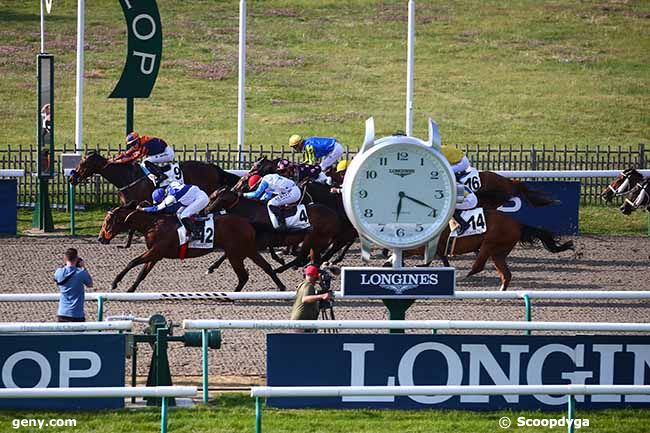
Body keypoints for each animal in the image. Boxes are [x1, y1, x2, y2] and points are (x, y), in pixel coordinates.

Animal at [97, 202, 284, 290]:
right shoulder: (155, 255)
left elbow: (132, 262)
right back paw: (281, 287)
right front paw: (130, 290)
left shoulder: (156, 251)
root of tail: (248, 222)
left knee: (244, 275)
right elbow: (142, 273)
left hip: (235, 254)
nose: (100, 238)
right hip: (248, 250)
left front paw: (115, 282)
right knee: (266, 267)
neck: (153, 224)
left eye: (108, 220)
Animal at [205, 188, 340, 272]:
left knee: (301, 257)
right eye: (211, 197)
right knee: (314, 259)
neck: (253, 212)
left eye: (215, 198)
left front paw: (212, 267)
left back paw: (279, 270)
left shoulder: (256, 243)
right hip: (317, 242)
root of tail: (335, 216)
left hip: (311, 238)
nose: (206, 210)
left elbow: (227, 253)